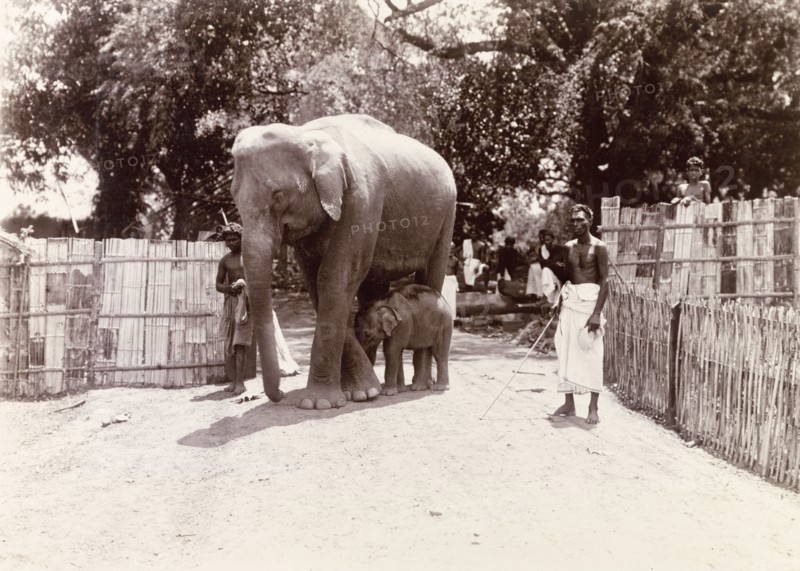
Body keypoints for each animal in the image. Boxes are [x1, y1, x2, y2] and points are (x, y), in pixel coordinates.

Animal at [230, 114, 457, 410]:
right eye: (234, 198)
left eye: (279, 196)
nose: (279, 395)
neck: (306, 134)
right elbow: (316, 284)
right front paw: (361, 392)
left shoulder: (361, 199)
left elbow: (336, 278)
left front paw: (317, 403)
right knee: (373, 289)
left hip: (447, 214)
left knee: (432, 274)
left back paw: (423, 386)